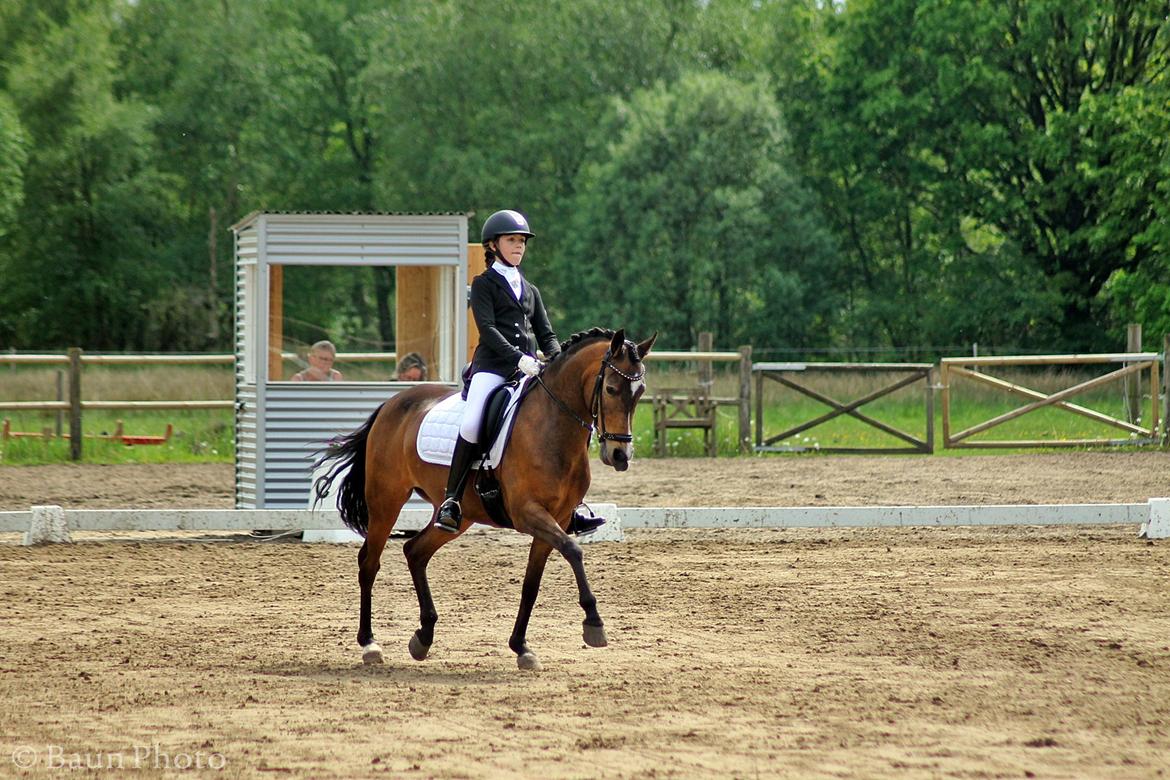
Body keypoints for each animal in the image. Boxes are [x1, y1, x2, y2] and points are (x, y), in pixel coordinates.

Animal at [313, 327, 657, 671]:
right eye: (611, 389)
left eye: (640, 393)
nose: (620, 456)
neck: (553, 426)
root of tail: (391, 403)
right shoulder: (528, 513)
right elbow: (573, 551)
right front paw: (593, 623)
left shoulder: (556, 518)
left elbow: (531, 584)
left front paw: (521, 647)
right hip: (386, 501)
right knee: (369, 562)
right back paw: (370, 644)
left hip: (461, 515)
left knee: (415, 552)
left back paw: (423, 636)